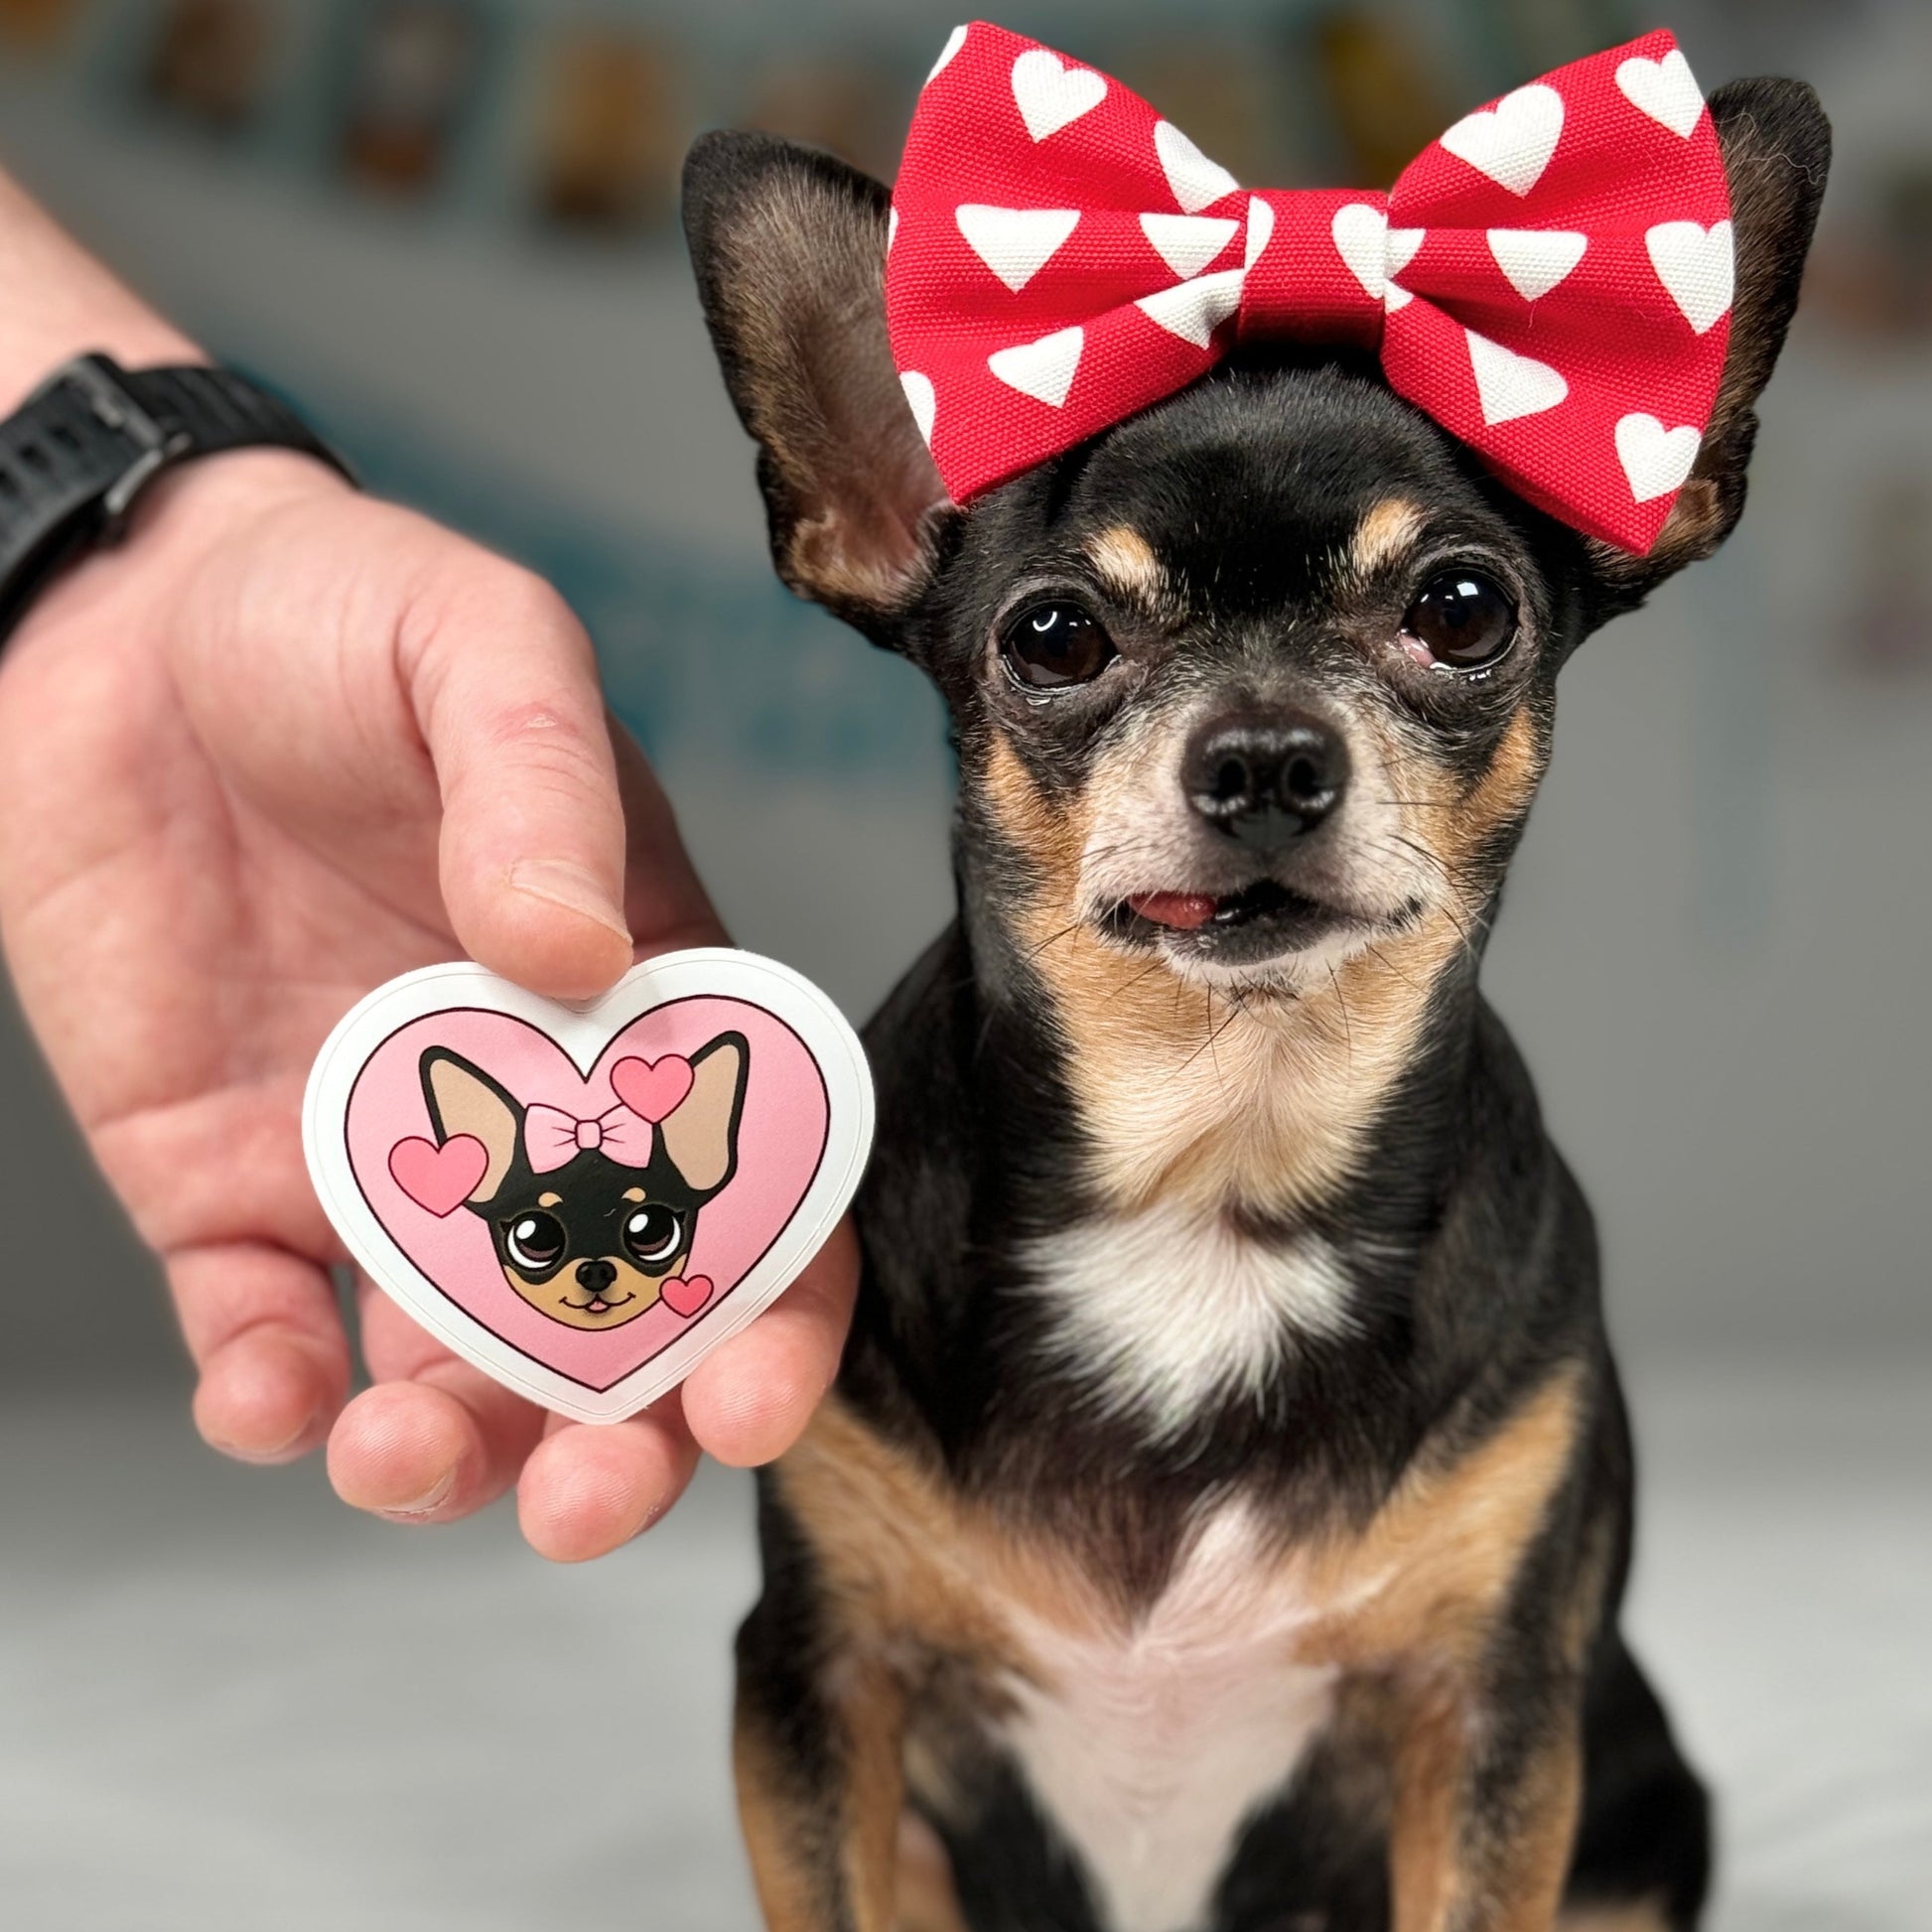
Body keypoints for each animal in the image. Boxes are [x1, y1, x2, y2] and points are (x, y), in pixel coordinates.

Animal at [676, 56, 1824, 1932]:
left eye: (1460, 607)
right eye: (1052, 637)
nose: (1268, 751)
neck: (1213, 1171)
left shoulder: (1489, 1721)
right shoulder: (817, 1690)